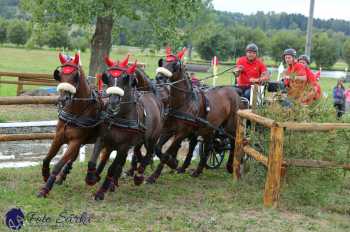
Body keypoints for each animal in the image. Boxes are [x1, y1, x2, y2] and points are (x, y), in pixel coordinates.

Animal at [38, 52, 104, 198]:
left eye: (75, 75)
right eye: (60, 74)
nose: (63, 99)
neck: (75, 112)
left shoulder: (75, 141)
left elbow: (58, 164)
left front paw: (45, 188)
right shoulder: (58, 137)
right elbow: (47, 158)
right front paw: (46, 175)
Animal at [85, 57, 163, 200]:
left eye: (125, 79)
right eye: (107, 77)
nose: (113, 104)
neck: (119, 117)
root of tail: (151, 95)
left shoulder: (123, 146)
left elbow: (112, 168)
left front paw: (100, 192)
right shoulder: (102, 139)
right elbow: (93, 161)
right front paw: (91, 178)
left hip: (152, 138)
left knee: (149, 154)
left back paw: (138, 176)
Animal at [146, 48, 241, 183]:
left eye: (174, 65)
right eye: (162, 62)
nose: (159, 78)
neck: (184, 102)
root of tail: (234, 91)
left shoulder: (182, 133)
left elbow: (167, 153)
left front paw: (154, 176)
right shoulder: (168, 130)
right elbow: (158, 149)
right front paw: (174, 163)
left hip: (230, 126)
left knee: (233, 142)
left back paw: (230, 166)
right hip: (209, 129)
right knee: (209, 147)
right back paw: (198, 171)